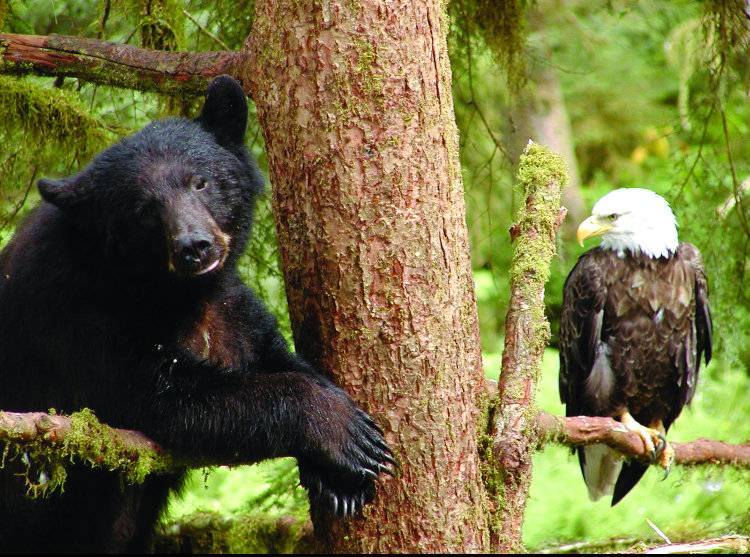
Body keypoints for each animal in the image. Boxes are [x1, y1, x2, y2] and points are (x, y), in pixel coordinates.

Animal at [0, 75, 396, 552]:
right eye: (142, 209)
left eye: (200, 182)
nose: (194, 246)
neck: (173, 290)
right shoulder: (81, 317)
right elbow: (165, 396)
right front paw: (346, 433)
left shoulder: (231, 308)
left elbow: (274, 354)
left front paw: (340, 480)